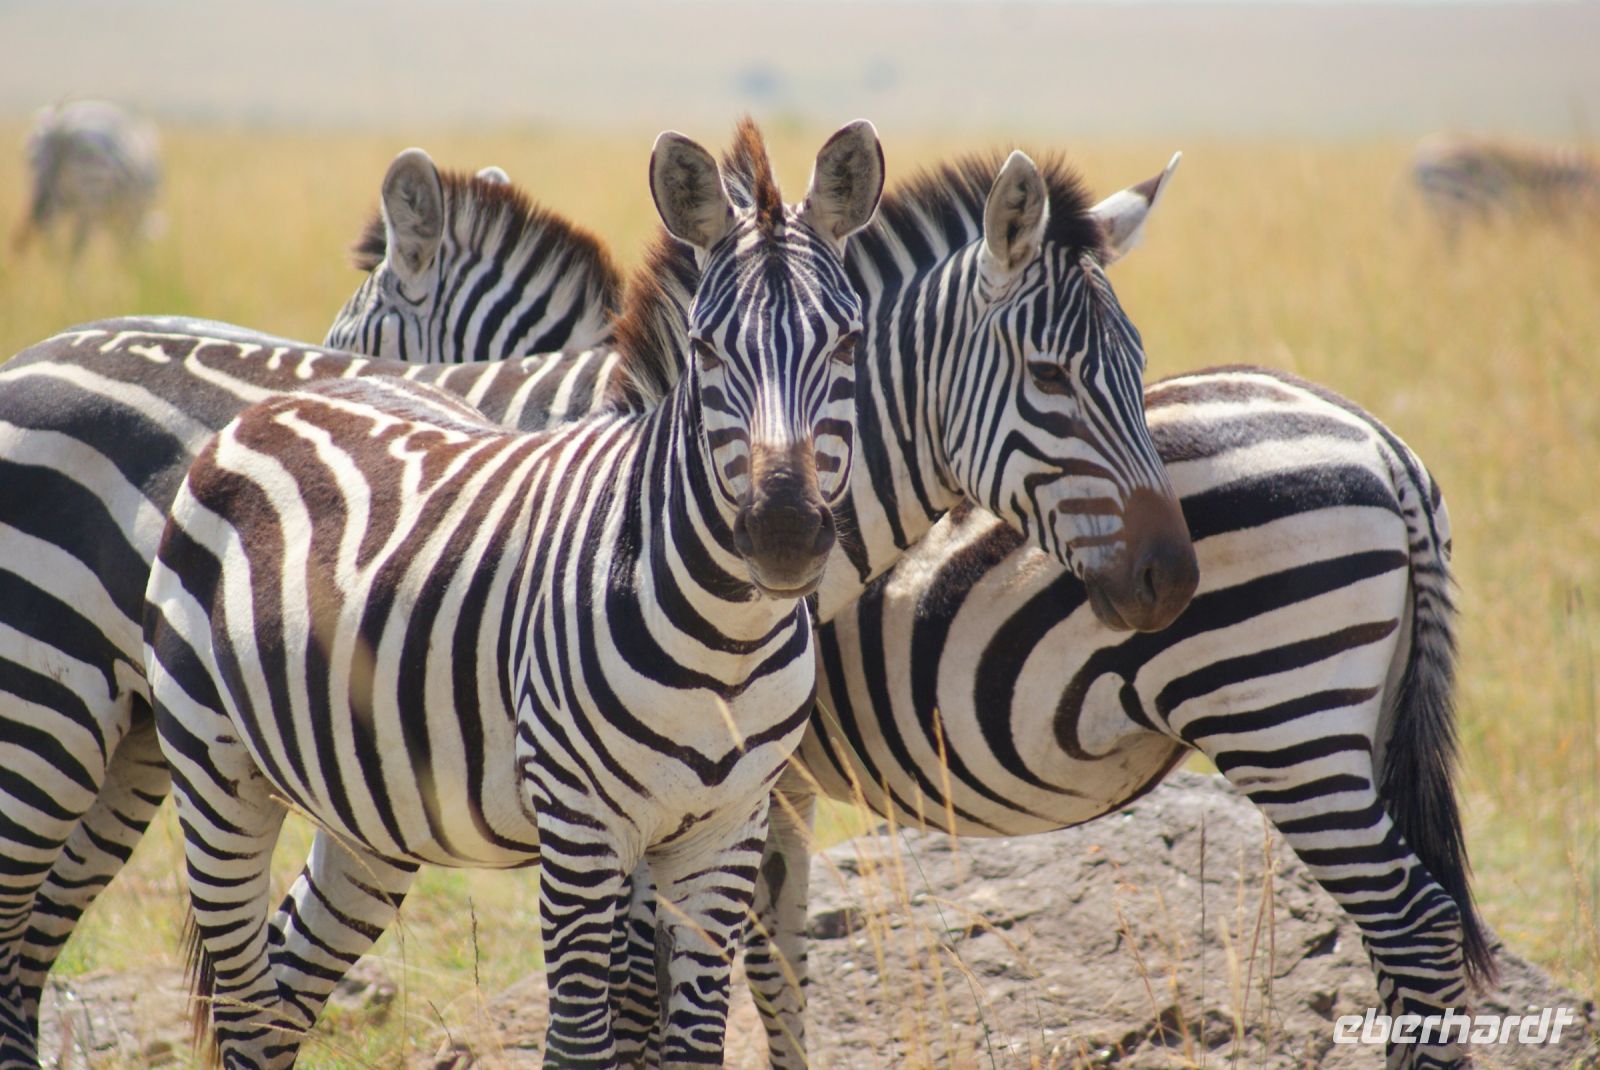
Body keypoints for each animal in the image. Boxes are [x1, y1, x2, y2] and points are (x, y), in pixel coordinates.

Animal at [11, 100, 161, 258]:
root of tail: (60, 125)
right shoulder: (133, 212)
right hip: (91, 191)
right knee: (77, 243)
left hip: (43, 183)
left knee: (50, 233)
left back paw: (52, 263)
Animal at [142, 118, 884, 1069]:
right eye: (708, 349)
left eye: (850, 344)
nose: (784, 533)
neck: (729, 638)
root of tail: (288, 399)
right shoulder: (580, 830)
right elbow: (581, 1041)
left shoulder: (726, 832)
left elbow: (691, 1044)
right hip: (214, 769)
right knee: (242, 997)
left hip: (368, 816)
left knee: (281, 992)